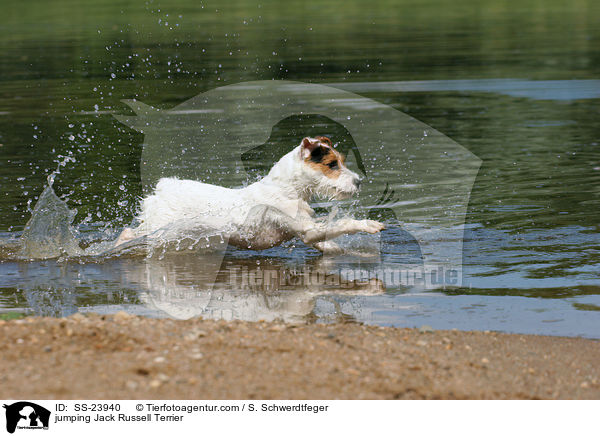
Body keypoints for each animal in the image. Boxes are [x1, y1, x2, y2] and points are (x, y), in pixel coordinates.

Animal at [117, 135, 384, 254]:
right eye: (331, 165)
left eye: (342, 161)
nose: (359, 182)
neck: (286, 190)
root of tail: (163, 189)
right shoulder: (307, 230)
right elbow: (344, 223)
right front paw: (369, 224)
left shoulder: (306, 234)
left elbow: (329, 244)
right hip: (160, 229)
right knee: (129, 233)